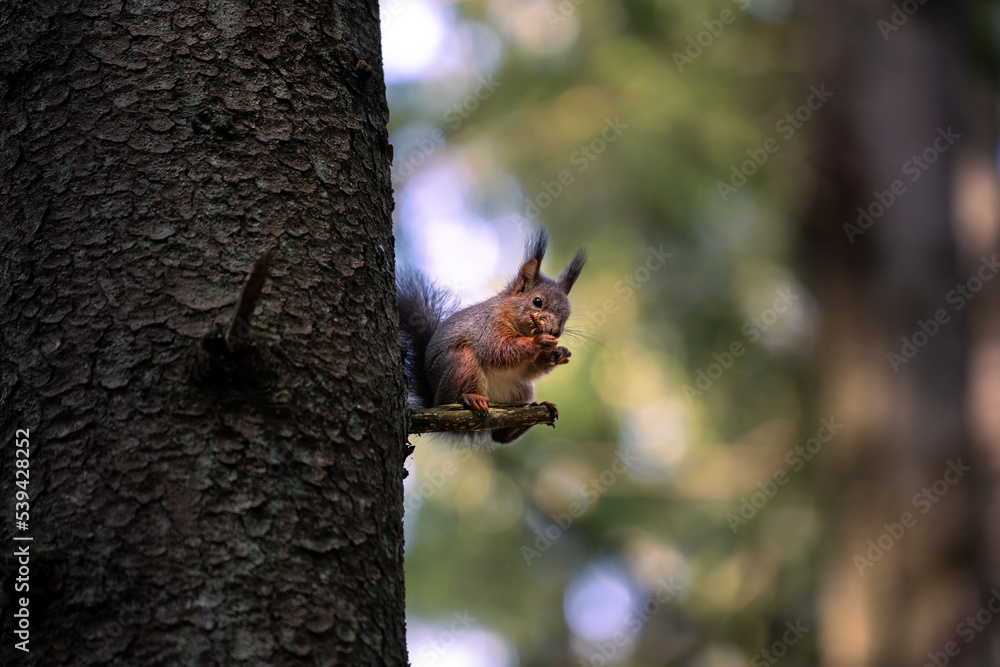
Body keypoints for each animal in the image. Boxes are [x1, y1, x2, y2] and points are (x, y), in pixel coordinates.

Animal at [397, 228, 586, 444]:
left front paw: (560, 353)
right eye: (537, 301)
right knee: (452, 399)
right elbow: (499, 349)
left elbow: (528, 368)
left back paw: (533, 413)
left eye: (567, 314)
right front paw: (538, 341)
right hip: (462, 363)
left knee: (499, 437)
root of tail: (433, 398)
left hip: (521, 389)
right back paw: (470, 398)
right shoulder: (487, 328)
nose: (555, 332)